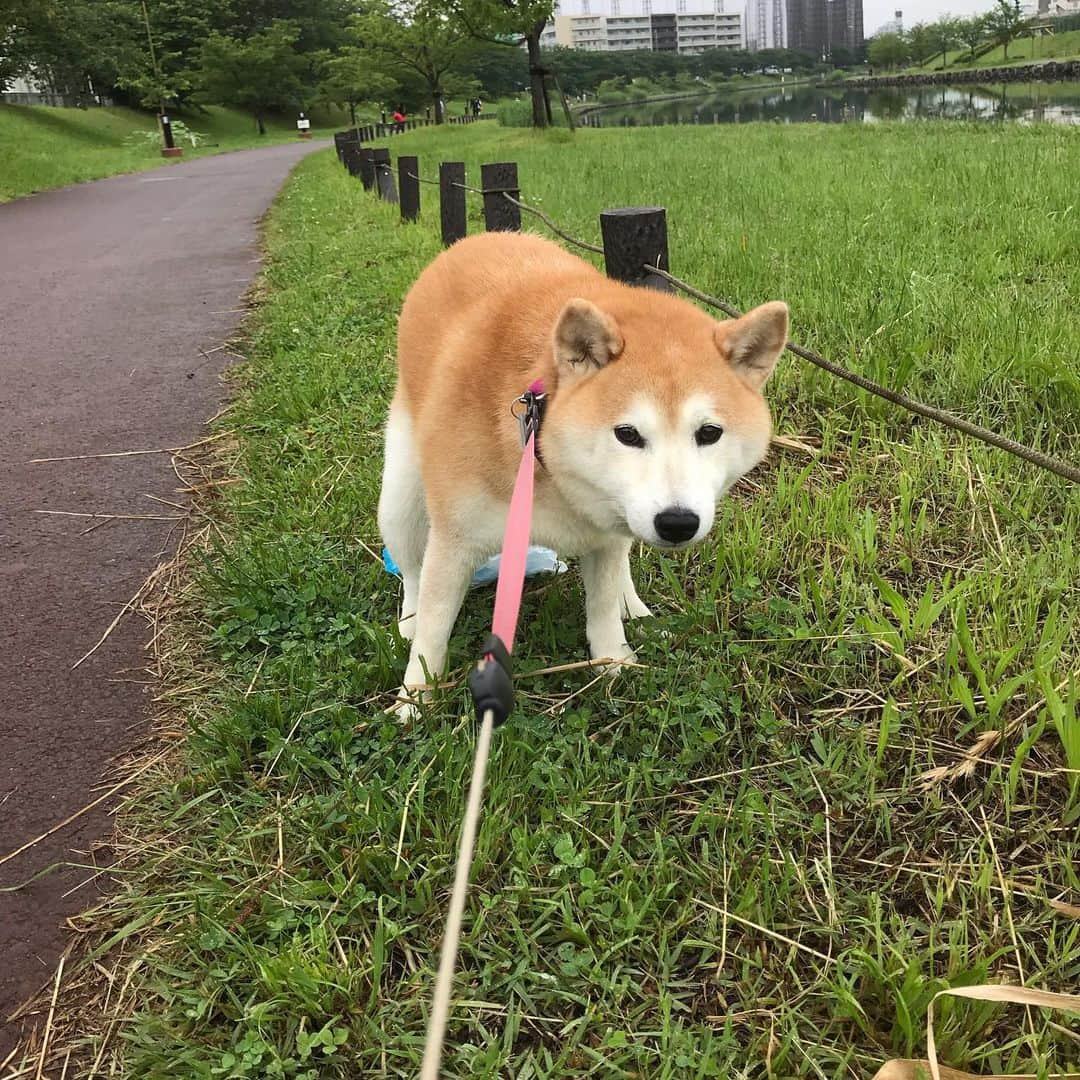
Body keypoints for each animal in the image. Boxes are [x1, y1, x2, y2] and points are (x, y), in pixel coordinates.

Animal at [380, 232, 786, 712]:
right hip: (401, 499)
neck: (544, 459)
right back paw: (407, 621)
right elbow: (434, 629)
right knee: (412, 571)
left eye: (709, 433)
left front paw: (614, 663)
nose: (677, 522)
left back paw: (633, 605)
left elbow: (604, 608)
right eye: (627, 434)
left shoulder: (607, 534)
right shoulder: (454, 543)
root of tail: (477, 238)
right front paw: (415, 699)